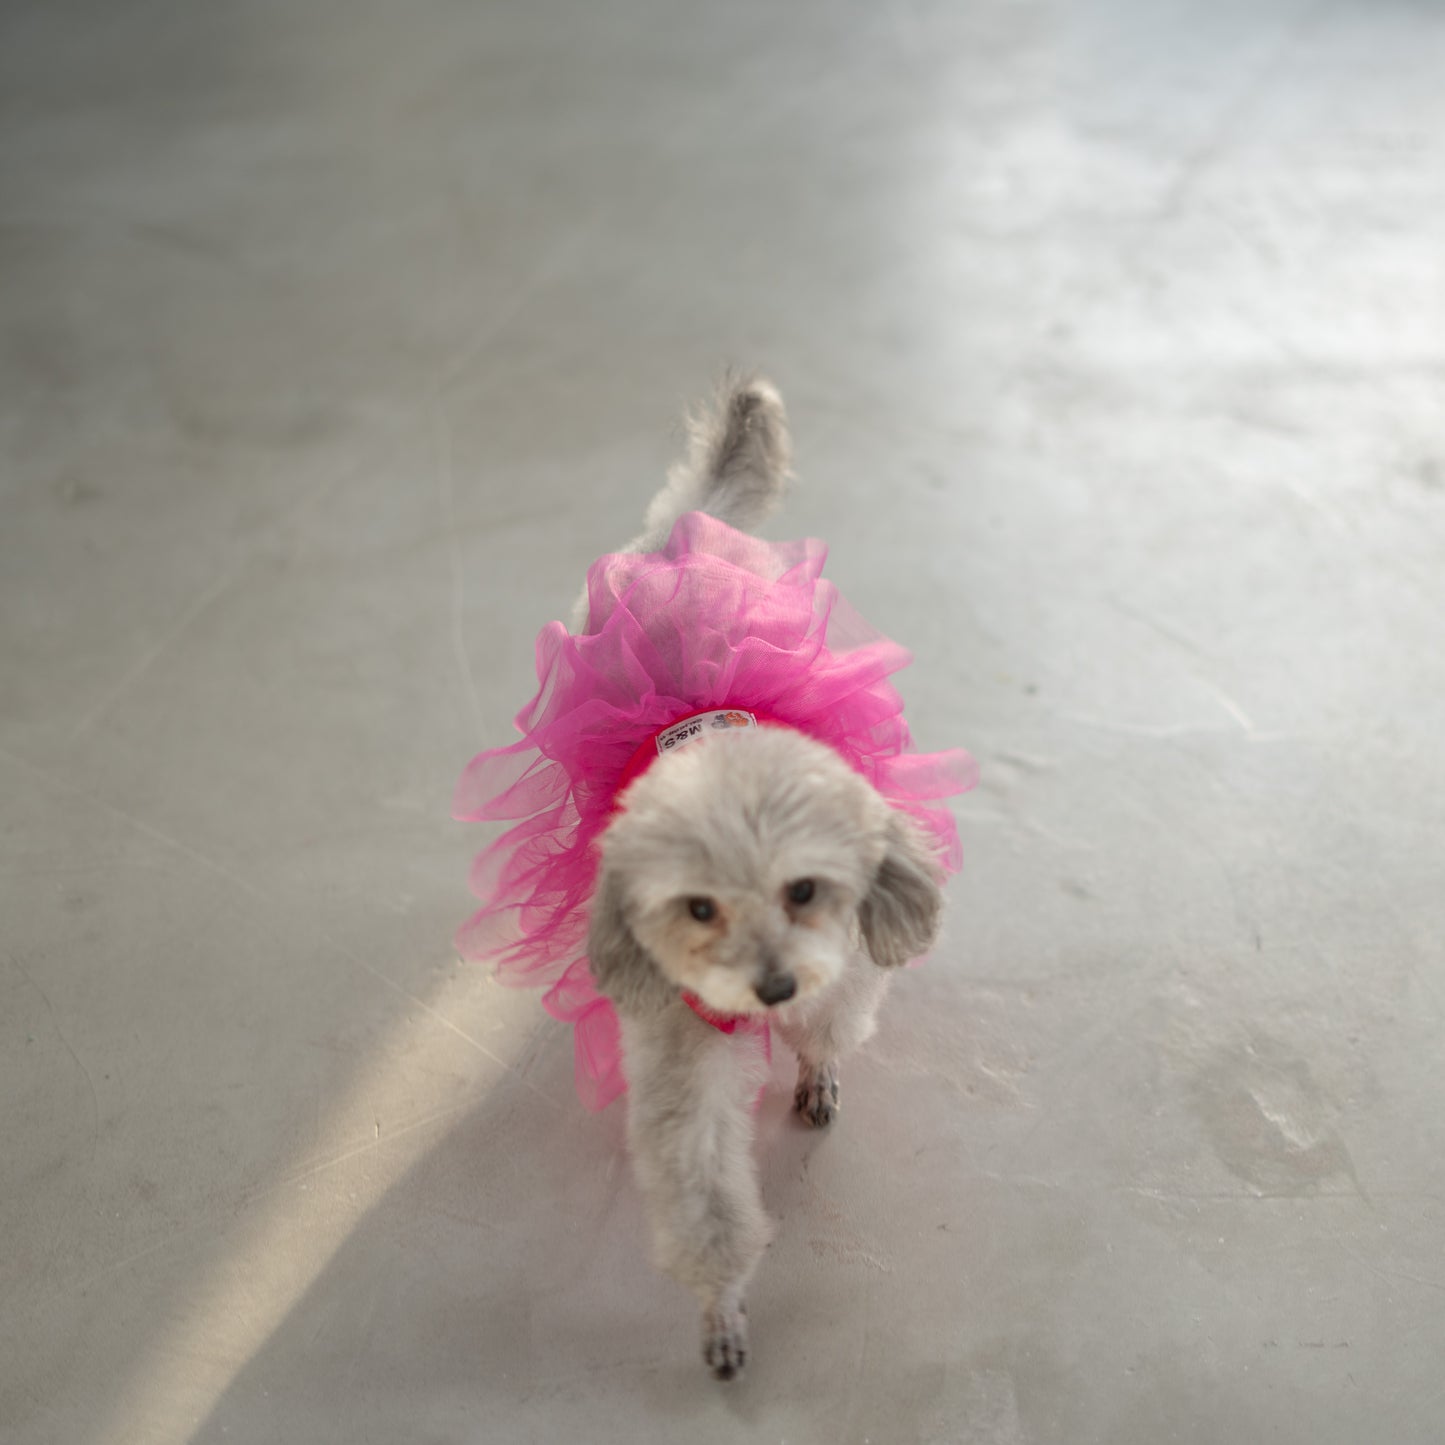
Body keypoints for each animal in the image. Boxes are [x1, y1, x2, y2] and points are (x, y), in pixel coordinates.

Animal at [580, 378, 953, 1381]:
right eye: (697, 908)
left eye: (804, 890)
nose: (773, 985)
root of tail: (684, 537)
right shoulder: (679, 1069)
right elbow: (705, 1195)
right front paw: (722, 1307)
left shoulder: (848, 960)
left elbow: (829, 1027)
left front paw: (815, 1069)